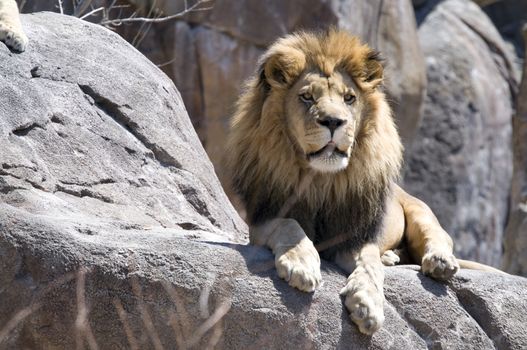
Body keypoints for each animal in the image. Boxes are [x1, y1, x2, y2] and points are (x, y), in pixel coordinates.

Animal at [227, 29, 504, 334]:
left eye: (349, 98)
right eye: (307, 97)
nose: (334, 122)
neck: (320, 180)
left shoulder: (354, 234)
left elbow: (369, 263)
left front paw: (367, 303)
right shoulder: (263, 219)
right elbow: (289, 226)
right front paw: (301, 264)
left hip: (419, 210)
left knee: (438, 237)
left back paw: (438, 262)